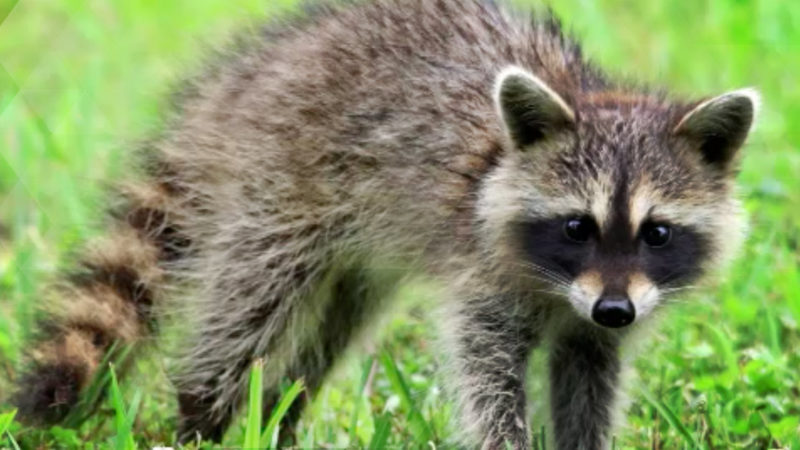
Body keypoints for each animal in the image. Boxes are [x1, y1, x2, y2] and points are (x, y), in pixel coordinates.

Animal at [12, 1, 760, 448]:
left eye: (657, 232)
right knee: (249, 307)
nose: (613, 309)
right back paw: (204, 412)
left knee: (330, 330)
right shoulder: (485, 277)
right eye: (577, 226)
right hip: (279, 185)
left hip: (354, 251)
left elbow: (590, 375)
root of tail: (248, 77)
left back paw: (280, 413)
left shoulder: (602, 316)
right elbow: (485, 373)